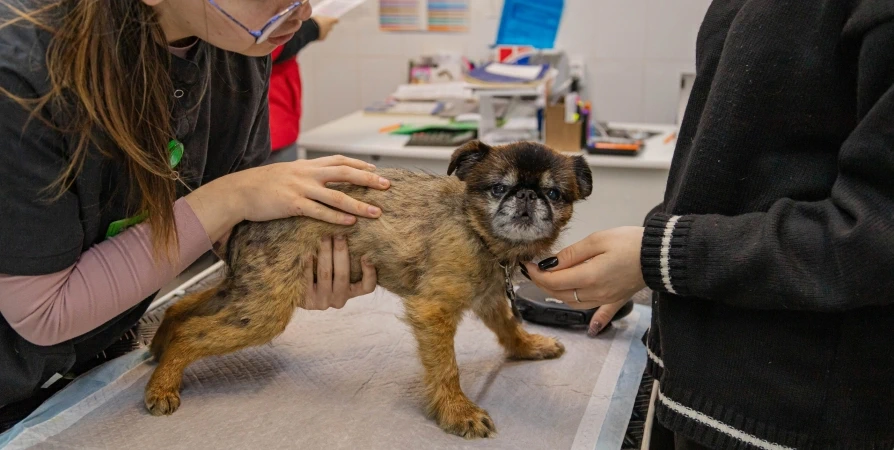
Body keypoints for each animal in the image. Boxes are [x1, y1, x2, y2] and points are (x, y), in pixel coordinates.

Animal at [147, 140, 596, 436]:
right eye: (499, 188)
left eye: (554, 193)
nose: (528, 195)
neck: (475, 229)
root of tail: (245, 221)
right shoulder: (433, 311)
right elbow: (446, 368)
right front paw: (457, 411)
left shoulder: (488, 298)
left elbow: (508, 326)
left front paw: (528, 346)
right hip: (263, 310)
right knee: (192, 332)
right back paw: (163, 383)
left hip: (247, 291)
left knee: (180, 309)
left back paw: (159, 348)